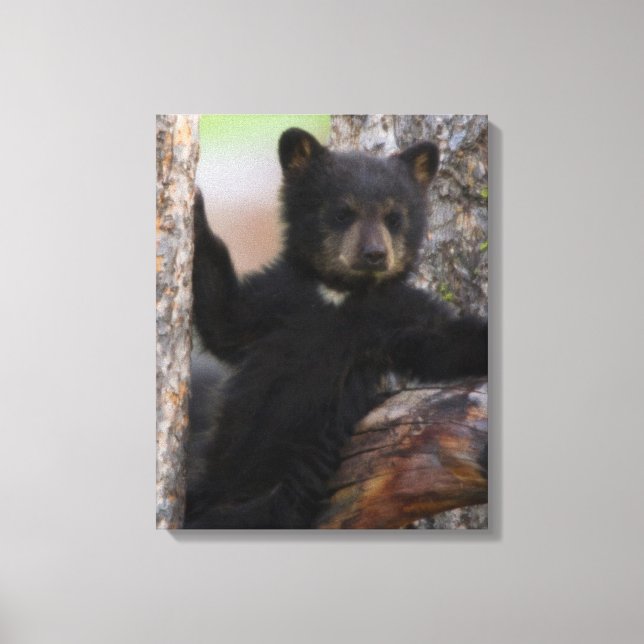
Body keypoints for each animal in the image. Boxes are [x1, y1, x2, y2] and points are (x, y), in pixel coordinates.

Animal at [183, 127, 488, 529]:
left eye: (394, 217)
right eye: (343, 213)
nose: (375, 254)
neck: (340, 294)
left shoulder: (396, 315)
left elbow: (445, 343)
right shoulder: (279, 297)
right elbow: (225, 319)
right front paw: (194, 208)